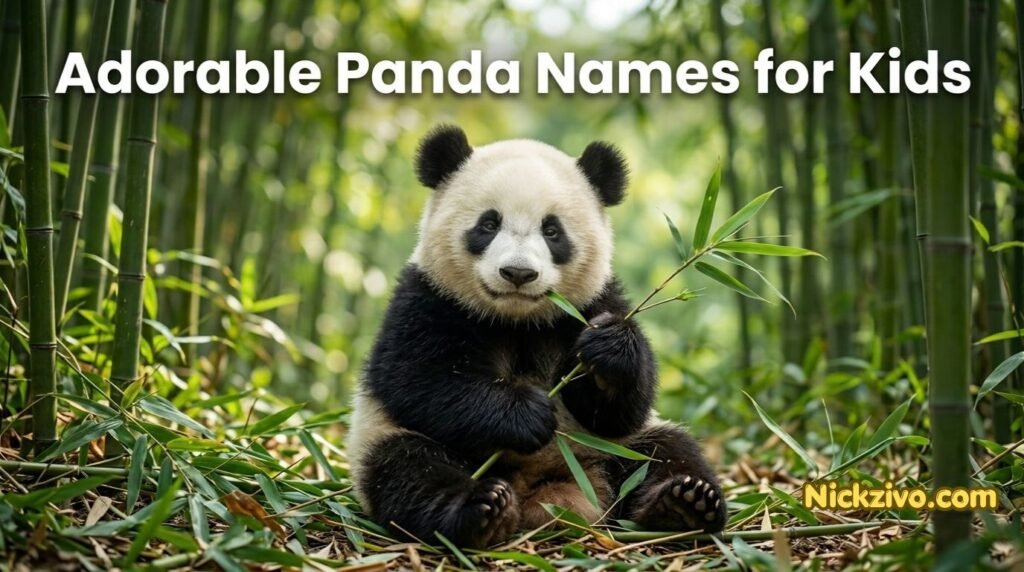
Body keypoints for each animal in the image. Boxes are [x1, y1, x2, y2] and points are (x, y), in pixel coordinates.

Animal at [346, 125, 727, 548]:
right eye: (488, 224)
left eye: (552, 230)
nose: (518, 273)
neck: (518, 320)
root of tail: (544, 489)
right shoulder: (428, 299)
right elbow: (419, 379)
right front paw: (527, 413)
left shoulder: (591, 304)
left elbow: (621, 410)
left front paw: (609, 350)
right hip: (384, 437)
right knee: (409, 469)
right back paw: (481, 511)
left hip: (619, 449)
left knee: (665, 452)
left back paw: (683, 504)